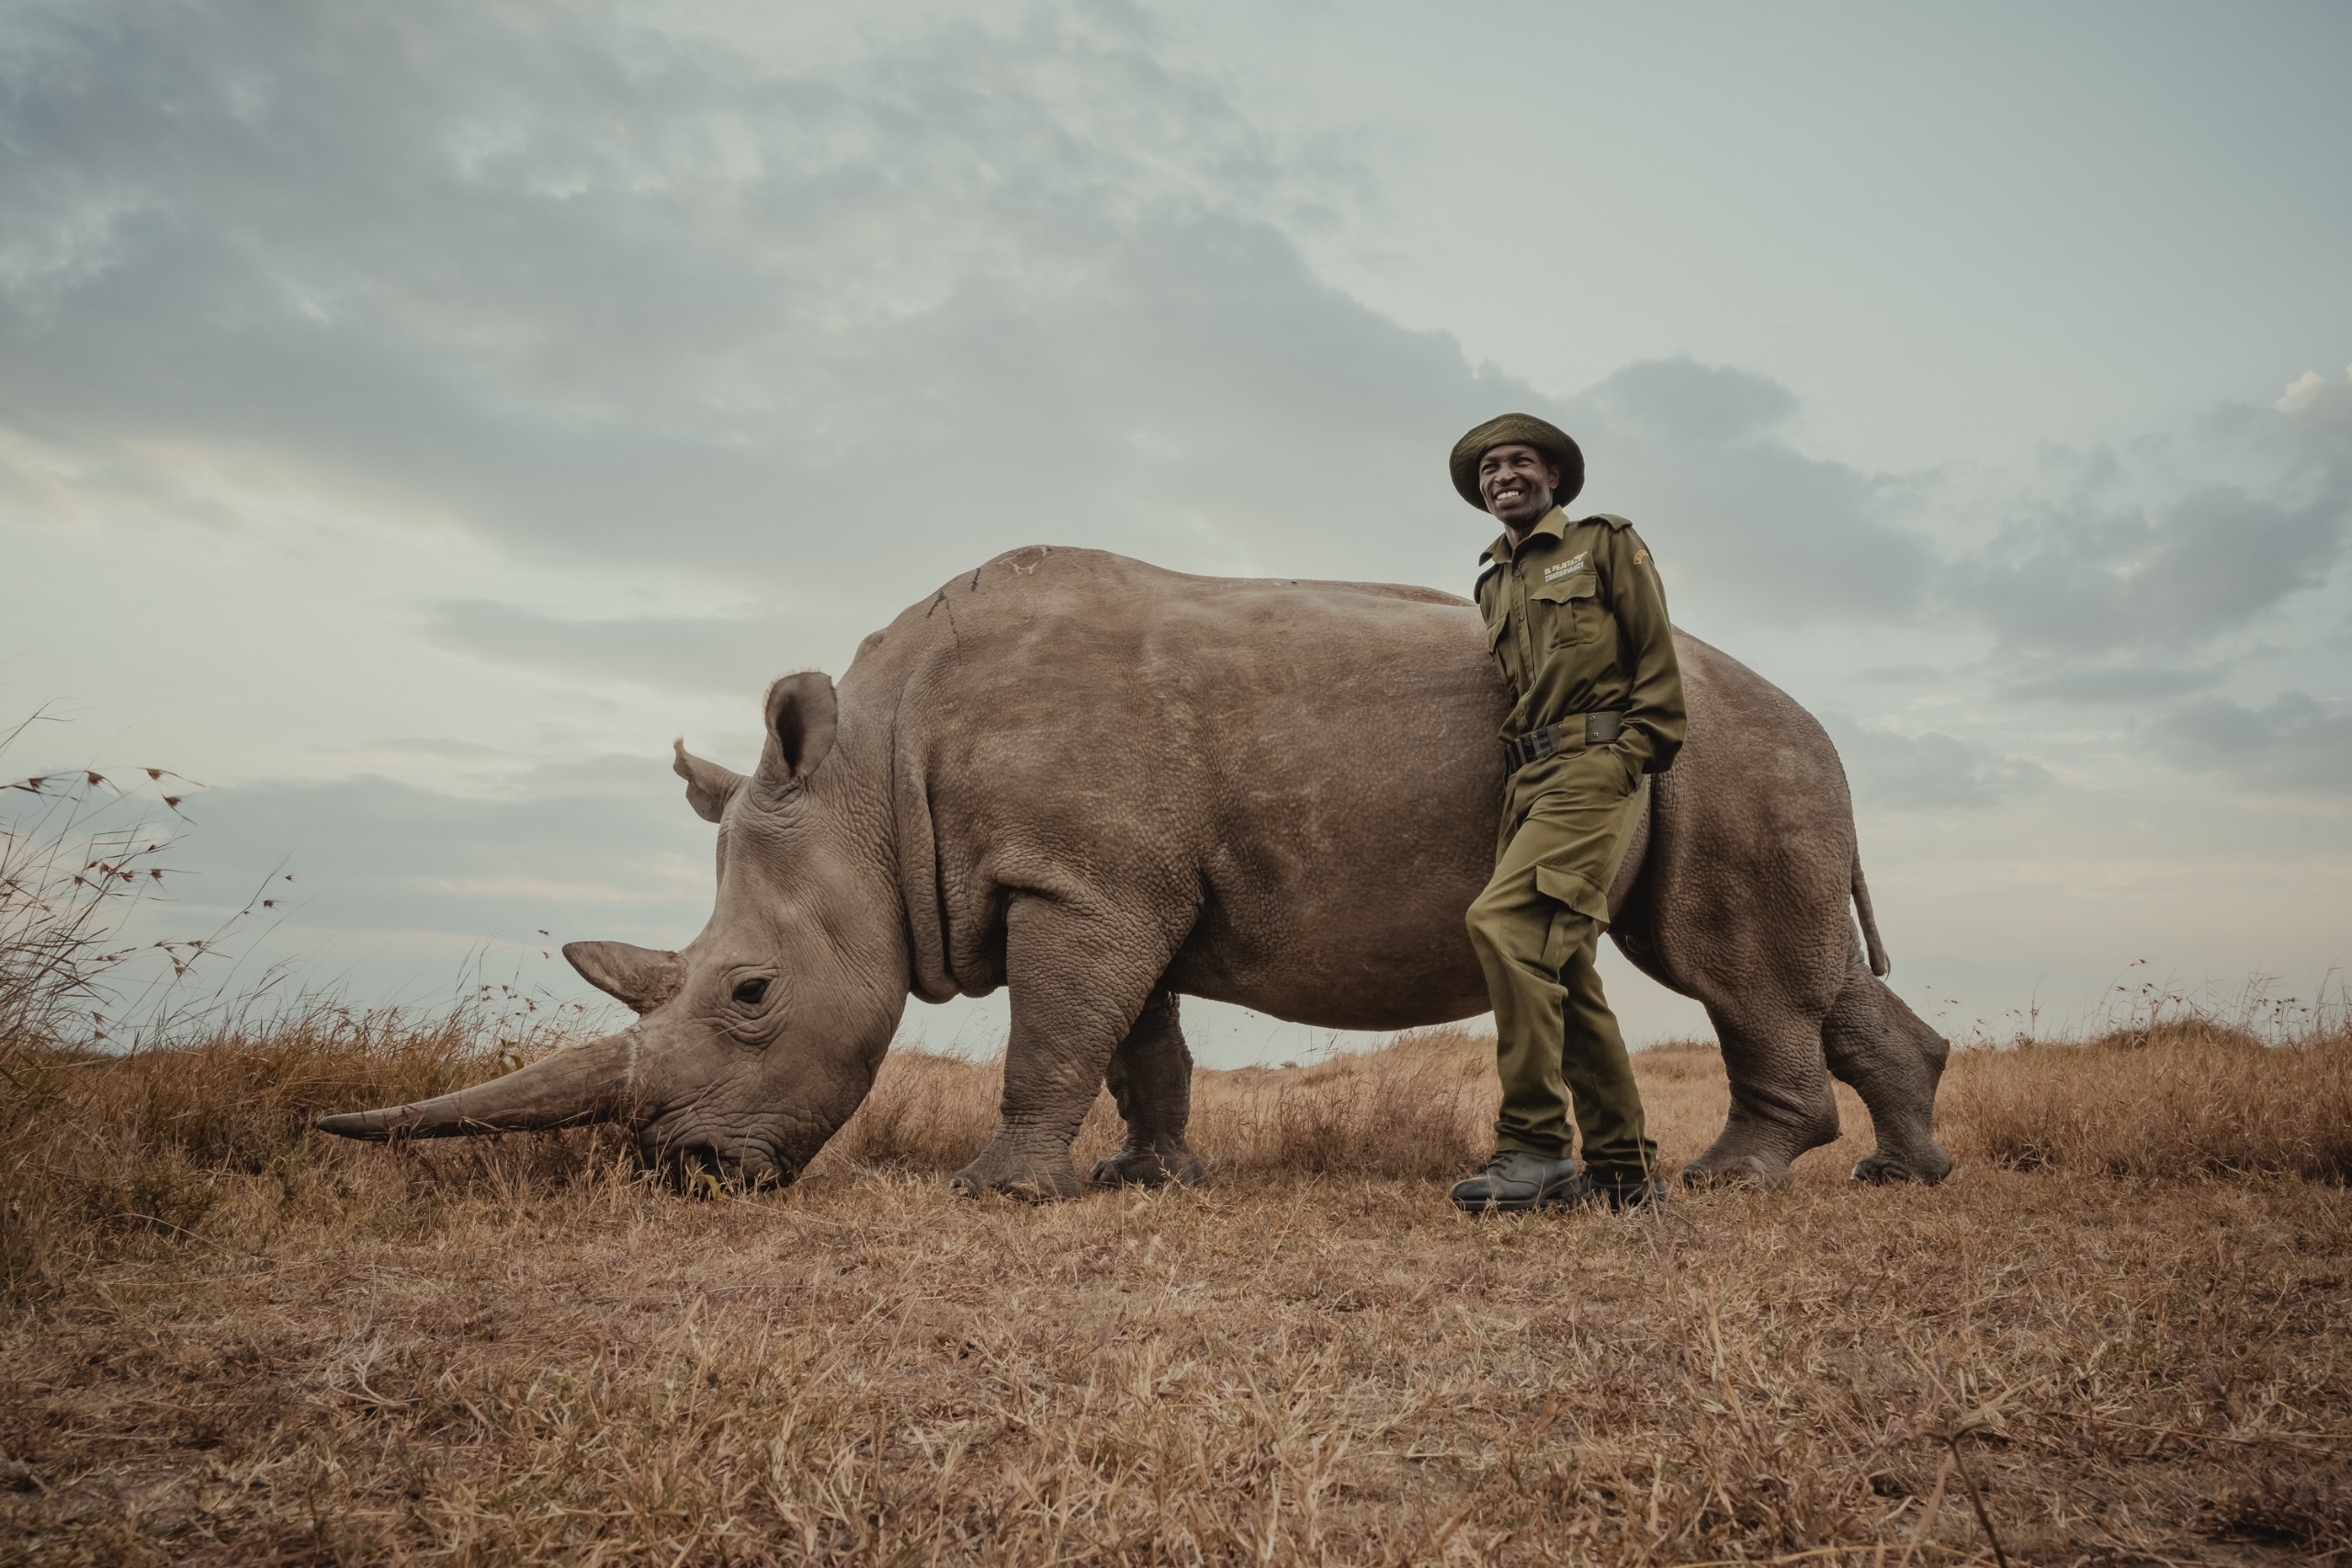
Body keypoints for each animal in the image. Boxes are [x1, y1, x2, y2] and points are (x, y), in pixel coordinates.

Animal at [319, 546, 1954, 1195]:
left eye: (749, 992)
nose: (686, 1176)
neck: (865, 781)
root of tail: (1804, 712)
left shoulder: (1082, 881)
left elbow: (1054, 1033)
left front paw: (1001, 1192)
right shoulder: (1110, 885)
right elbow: (1136, 1041)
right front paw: (1143, 1176)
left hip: (1721, 755)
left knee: (1729, 963)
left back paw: (1736, 1178)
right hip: (1744, 762)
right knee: (1792, 966)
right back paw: (1901, 1169)